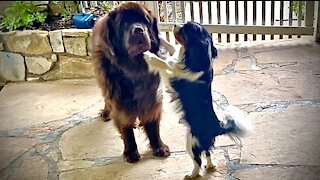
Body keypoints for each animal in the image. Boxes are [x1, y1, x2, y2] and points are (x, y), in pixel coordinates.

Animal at [90, 1, 170, 163]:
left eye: (145, 21)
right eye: (123, 23)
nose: (138, 30)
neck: (135, 70)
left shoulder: (152, 96)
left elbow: (153, 124)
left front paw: (158, 146)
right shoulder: (119, 101)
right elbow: (126, 128)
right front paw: (131, 151)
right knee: (106, 99)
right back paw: (106, 112)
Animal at [144, 21, 251, 178]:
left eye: (186, 29)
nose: (175, 24)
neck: (192, 57)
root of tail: (217, 127)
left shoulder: (172, 75)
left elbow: (163, 63)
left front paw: (148, 56)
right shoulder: (175, 57)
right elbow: (171, 47)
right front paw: (159, 35)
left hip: (191, 142)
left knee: (197, 161)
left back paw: (191, 174)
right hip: (202, 142)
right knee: (208, 152)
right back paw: (210, 165)